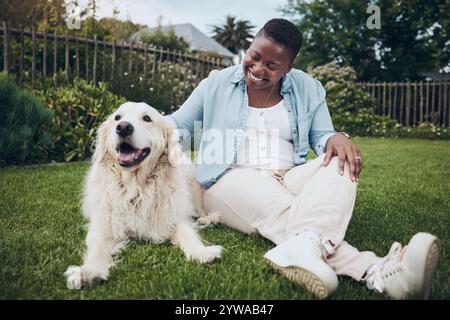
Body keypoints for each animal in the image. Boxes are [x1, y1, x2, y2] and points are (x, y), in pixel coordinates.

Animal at [64, 101, 222, 288]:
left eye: (147, 118)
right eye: (117, 117)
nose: (123, 127)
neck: (135, 187)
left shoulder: (172, 218)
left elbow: (188, 233)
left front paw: (201, 252)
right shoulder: (103, 226)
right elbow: (97, 248)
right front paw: (88, 272)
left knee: (202, 211)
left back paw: (210, 219)